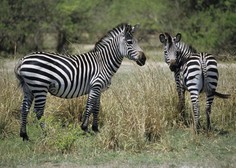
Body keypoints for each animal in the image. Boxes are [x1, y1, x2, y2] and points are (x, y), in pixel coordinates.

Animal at [14, 22, 146, 140]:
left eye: (137, 41)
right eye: (129, 42)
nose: (144, 59)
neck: (103, 62)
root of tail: (23, 59)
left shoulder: (98, 88)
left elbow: (96, 108)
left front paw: (95, 129)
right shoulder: (95, 85)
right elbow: (89, 106)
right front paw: (85, 128)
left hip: (28, 87)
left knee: (24, 109)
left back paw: (24, 135)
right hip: (40, 86)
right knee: (38, 111)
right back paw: (46, 134)